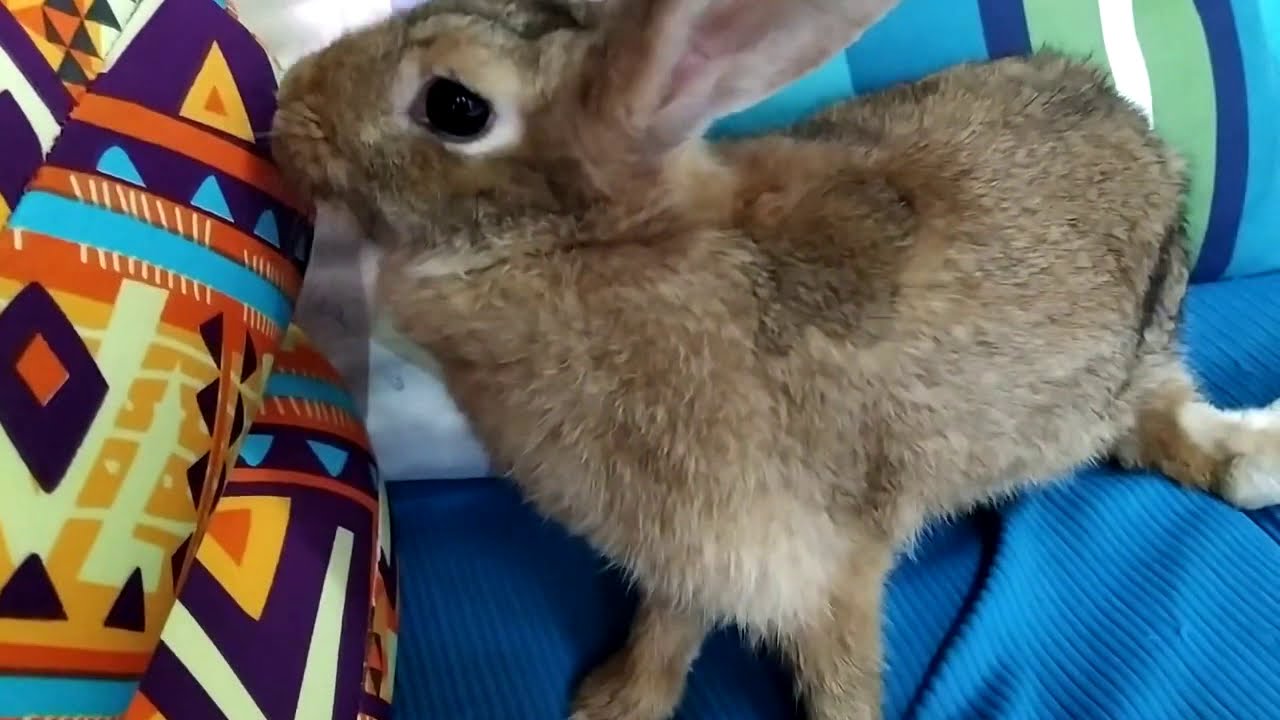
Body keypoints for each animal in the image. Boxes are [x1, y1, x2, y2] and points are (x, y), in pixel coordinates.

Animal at [270, 1, 1280, 718]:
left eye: (454, 104)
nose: (288, 100)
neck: (598, 245)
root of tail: (1151, 148)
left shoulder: (825, 565)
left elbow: (837, 679)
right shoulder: (690, 553)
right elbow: (667, 630)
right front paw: (614, 705)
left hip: (1124, 361)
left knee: (1160, 420)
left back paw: (1250, 463)